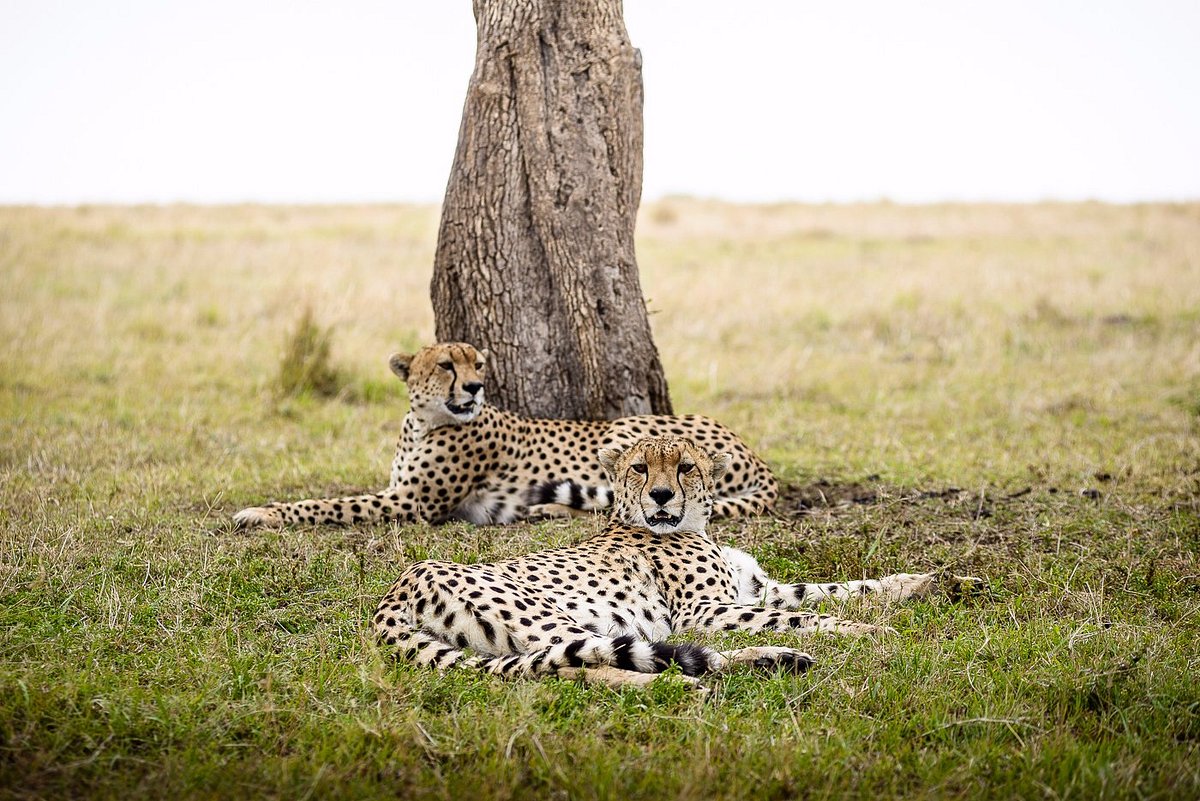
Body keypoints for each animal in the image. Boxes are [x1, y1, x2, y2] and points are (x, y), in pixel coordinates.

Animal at [234, 340, 777, 527]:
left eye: (478, 364)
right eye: (446, 365)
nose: (475, 387)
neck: (424, 421)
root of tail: (753, 453)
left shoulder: (412, 503)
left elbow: (326, 504)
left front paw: (262, 513)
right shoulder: (399, 491)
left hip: (625, 427)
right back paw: (542, 510)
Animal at [374, 431, 984, 690]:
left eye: (686, 466)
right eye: (640, 468)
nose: (663, 496)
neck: (696, 526)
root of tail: (399, 586)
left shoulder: (755, 589)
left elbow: (836, 589)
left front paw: (940, 583)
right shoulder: (703, 612)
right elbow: (807, 614)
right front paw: (873, 632)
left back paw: (772, 662)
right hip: (553, 618)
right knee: (581, 665)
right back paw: (689, 684)